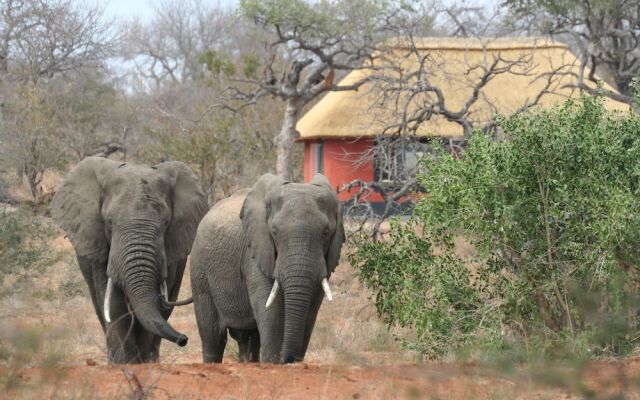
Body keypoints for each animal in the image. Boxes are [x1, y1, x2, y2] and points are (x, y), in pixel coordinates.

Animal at [53, 158, 208, 364]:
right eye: (109, 223)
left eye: (166, 223)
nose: (184, 339)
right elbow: (114, 304)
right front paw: (124, 364)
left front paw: (141, 363)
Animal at [182, 173, 344, 364]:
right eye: (274, 232)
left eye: (326, 232)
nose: (288, 358)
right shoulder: (254, 252)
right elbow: (270, 310)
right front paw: (273, 362)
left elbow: (311, 310)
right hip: (200, 269)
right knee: (213, 336)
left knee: (247, 337)